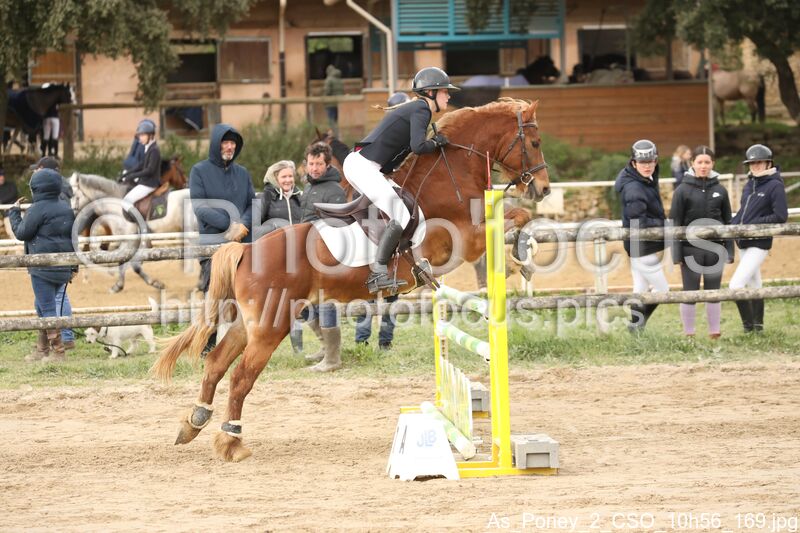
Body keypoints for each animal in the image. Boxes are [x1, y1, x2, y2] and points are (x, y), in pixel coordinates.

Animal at [70, 157, 192, 292]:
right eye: (181, 170)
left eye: (74, 195)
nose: (186, 183)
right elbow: (124, 262)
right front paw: (118, 285)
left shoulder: (129, 240)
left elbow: (132, 264)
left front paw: (155, 283)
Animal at [153, 98, 549, 462]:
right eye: (534, 142)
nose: (543, 188)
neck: (448, 176)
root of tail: (247, 251)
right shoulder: (464, 239)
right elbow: (515, 217)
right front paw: (517, 261)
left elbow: (517, 216)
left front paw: (521, 258)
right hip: (270, 326)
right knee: (240, 377)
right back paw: (231, 442)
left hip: (247, 323)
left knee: (216, 364)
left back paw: (194, 422)